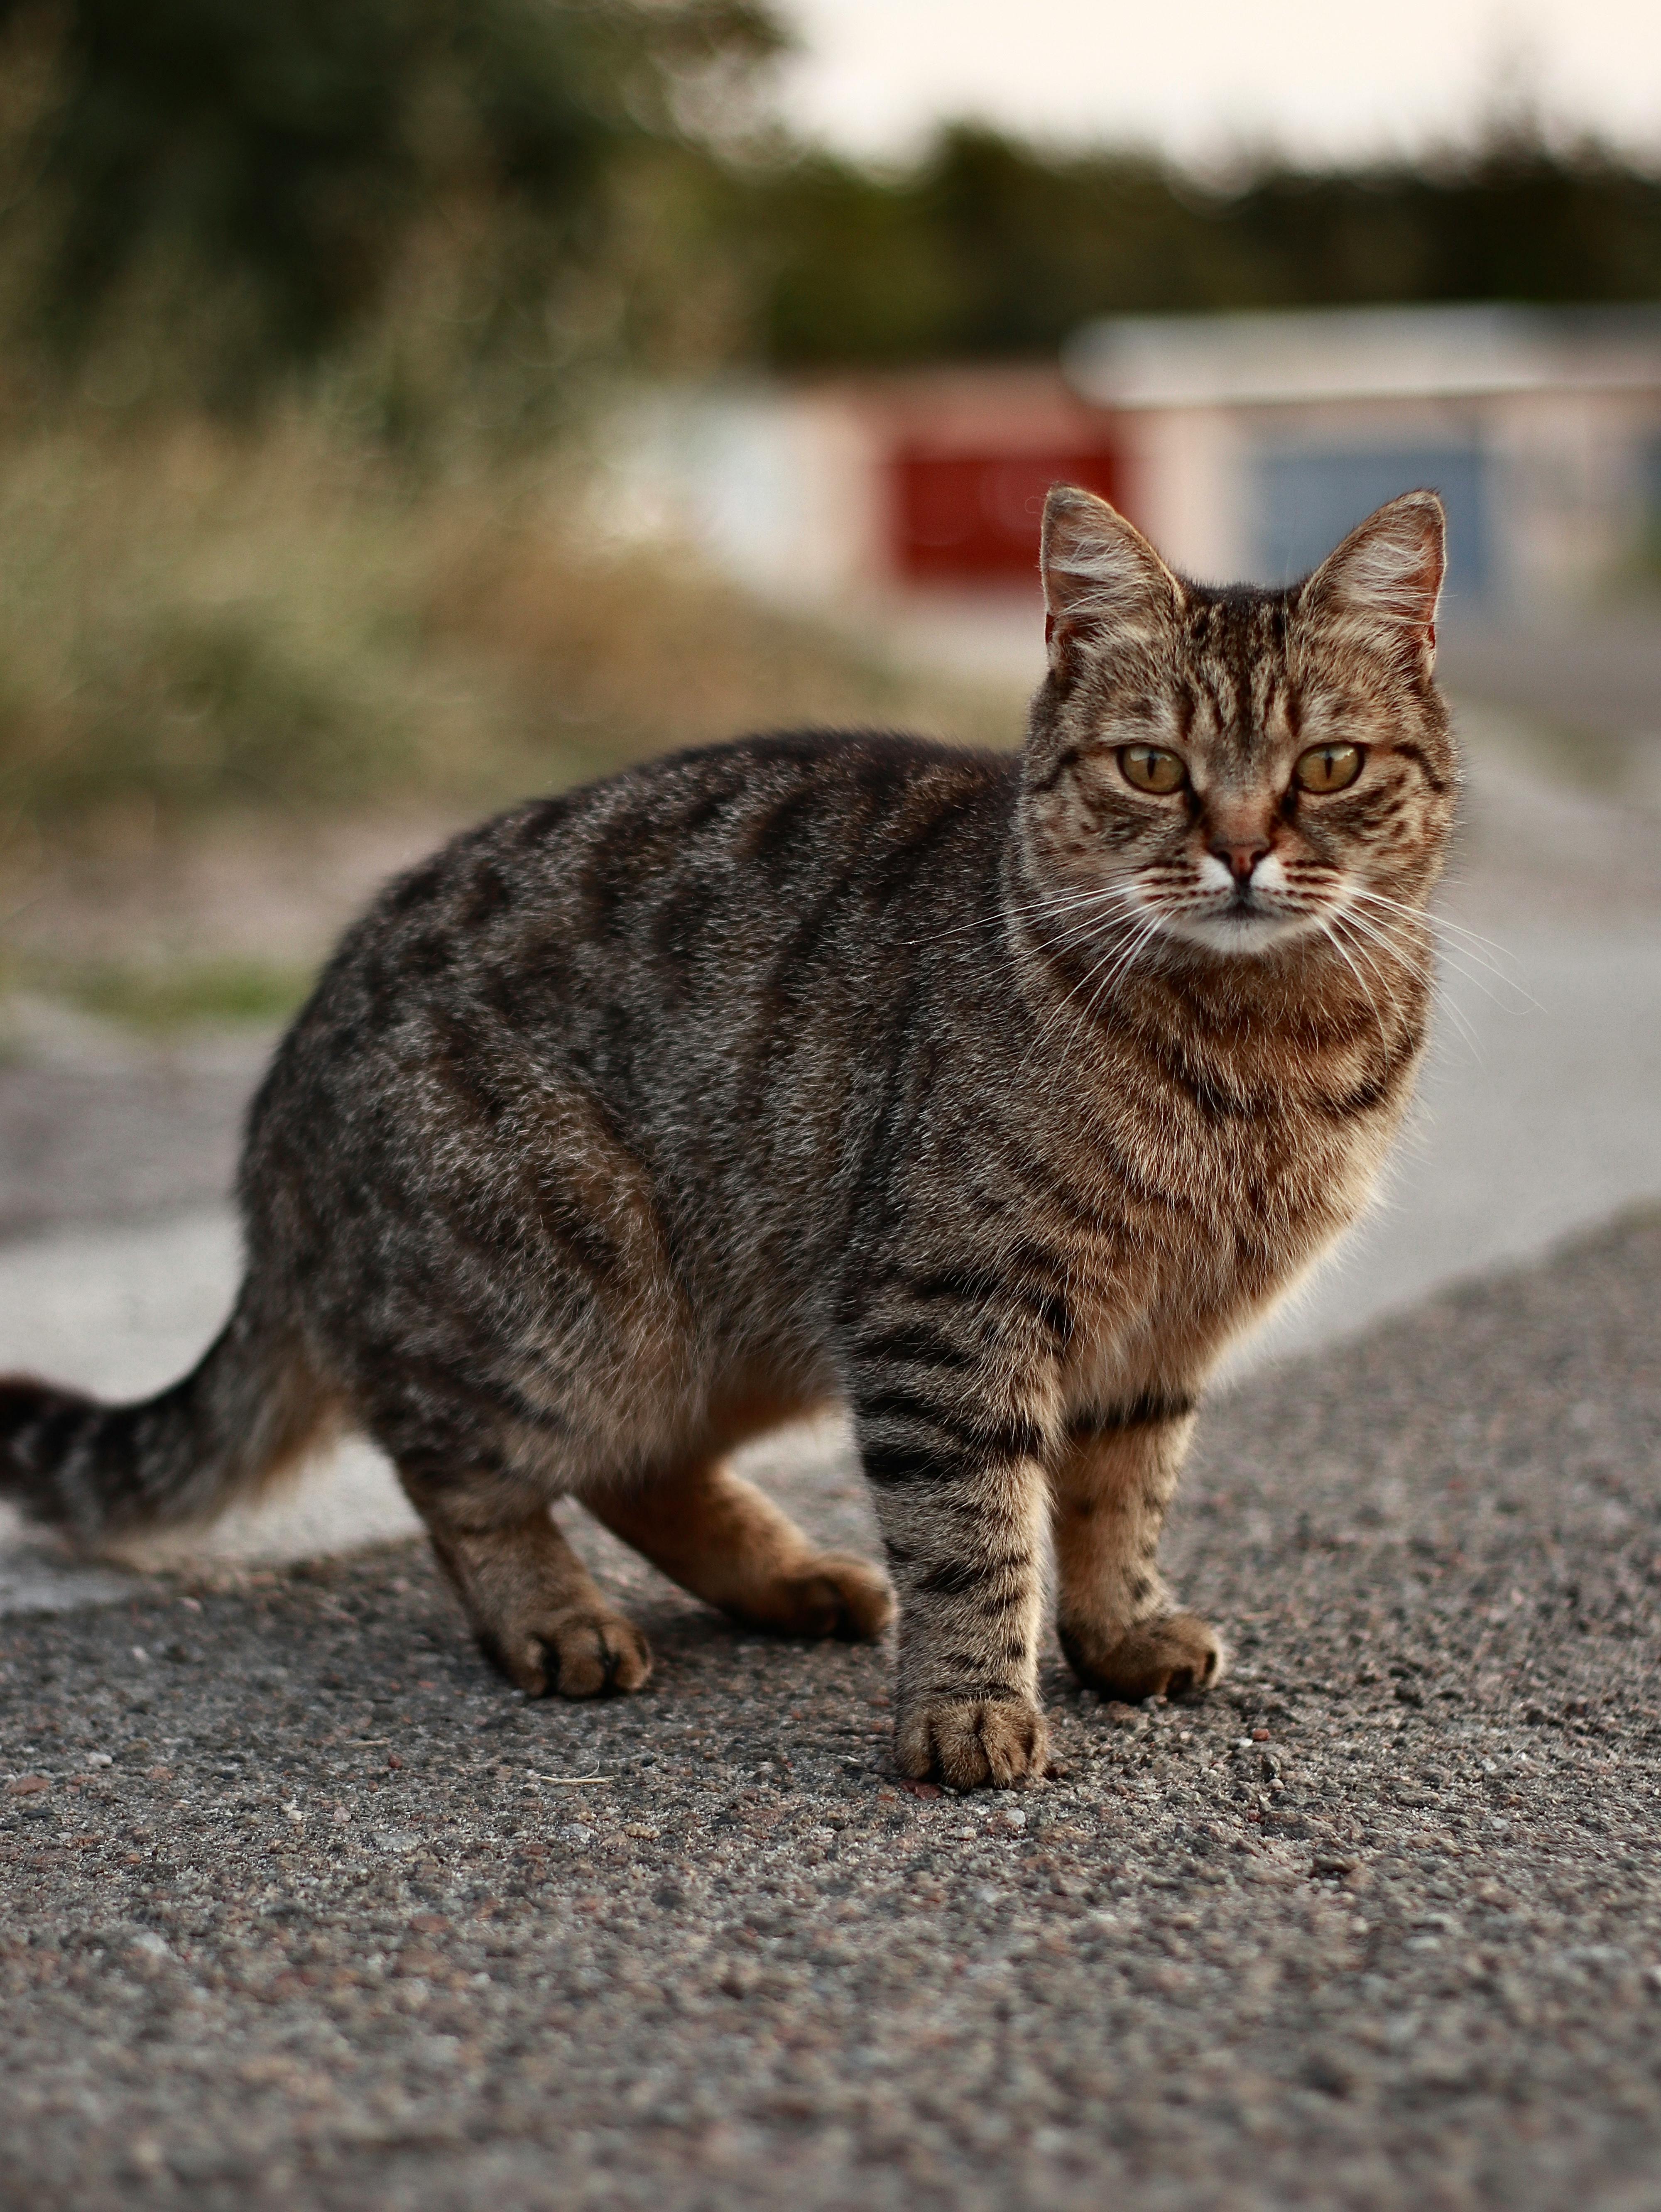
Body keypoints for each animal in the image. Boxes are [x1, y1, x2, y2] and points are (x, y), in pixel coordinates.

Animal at [0, 489, 1451, 1796]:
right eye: (1152, 767)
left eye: (1327, 766)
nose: (1241, 852)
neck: (1257, 1053)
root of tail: (286, 1078)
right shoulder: (949, 1311)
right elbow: (977, 1531)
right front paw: (970, 1709)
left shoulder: (1162, 1339)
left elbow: (1116, 1502)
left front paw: (1120, 1630)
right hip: (564, 1296)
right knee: (461, 1469)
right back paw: (557, 1619)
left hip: (733, 1325)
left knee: (638, 1467)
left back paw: (788, 1578)